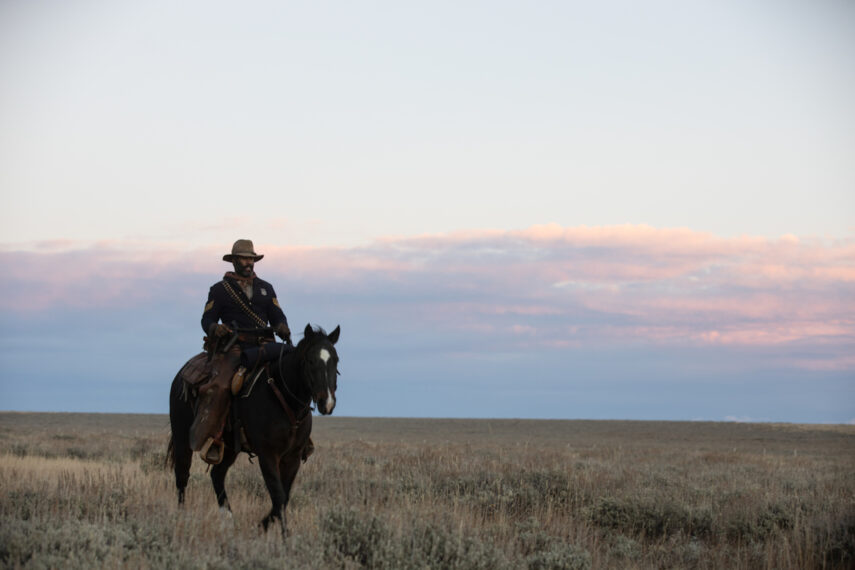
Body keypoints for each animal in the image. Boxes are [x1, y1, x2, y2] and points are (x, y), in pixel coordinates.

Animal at [167, 324, 342, 532]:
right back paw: (181, 517)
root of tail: (180, 374)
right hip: (182, 437)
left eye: (336, 360)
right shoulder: (267, 455)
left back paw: (228, 519)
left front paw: (261, 527)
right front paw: (284, 535)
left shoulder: (292, 457)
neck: (284, 399)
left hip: (229, 448)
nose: (327, 403)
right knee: (182, 475)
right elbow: (278, 496)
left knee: (217, 475)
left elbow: (284, 497)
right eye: (310, 360)